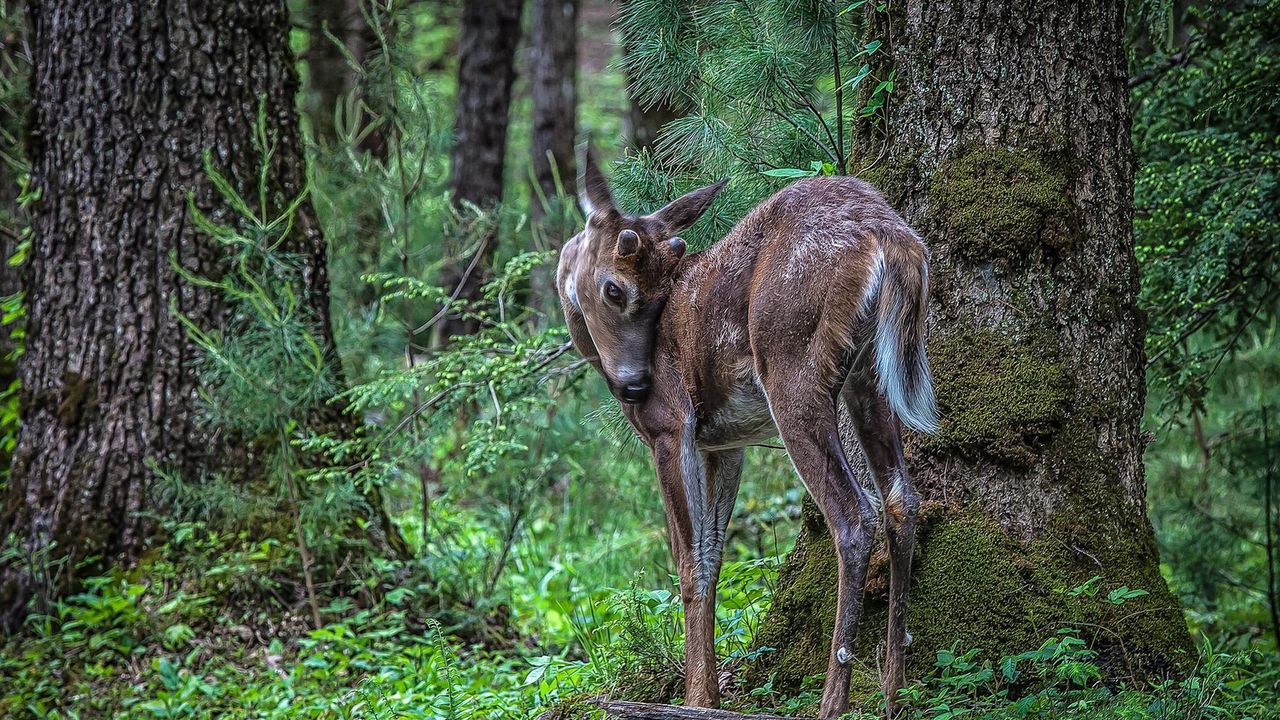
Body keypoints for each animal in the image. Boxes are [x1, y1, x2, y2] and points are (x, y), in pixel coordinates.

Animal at [560, 149, 942, 712]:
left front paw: (697, 699)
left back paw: (832, 702)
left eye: (618, 289)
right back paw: (893, 696)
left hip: (792, 367)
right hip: (869, 376)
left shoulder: (673, 428)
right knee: (901, 499)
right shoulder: (725, 443)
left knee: (853, 515)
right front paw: (710, 695)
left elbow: (690, 562)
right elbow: (714, 553)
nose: (636, 386)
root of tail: (890, 235)